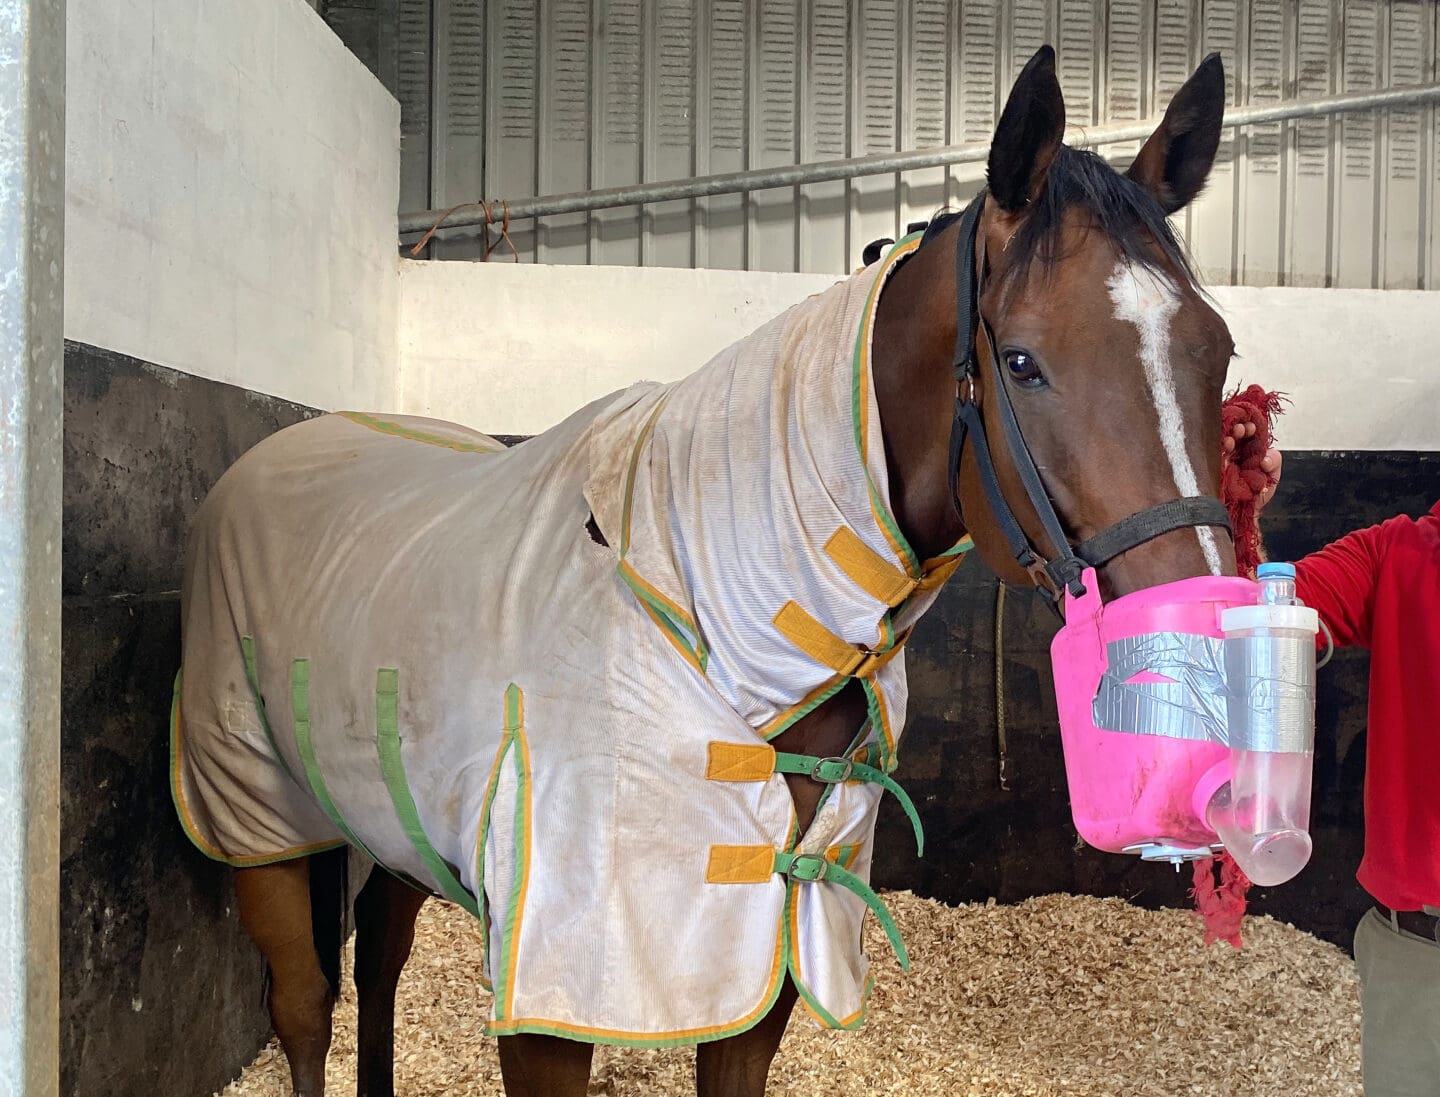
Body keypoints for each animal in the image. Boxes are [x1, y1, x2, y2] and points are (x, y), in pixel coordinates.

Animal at [173, 45, 1237, 1097]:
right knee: (304, 1006)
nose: (1201, 659)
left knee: (379, 957)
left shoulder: (767, 960)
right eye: (1021, 362)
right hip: (253, 809)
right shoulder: (558, 983)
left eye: (1218, 352)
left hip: (395, 823)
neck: (698, 604)